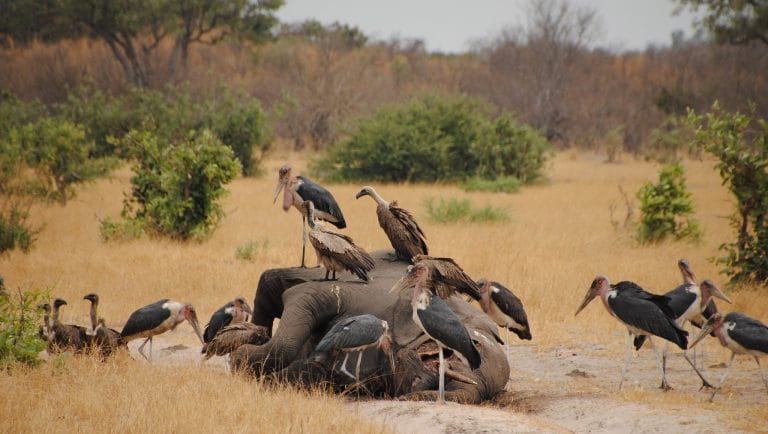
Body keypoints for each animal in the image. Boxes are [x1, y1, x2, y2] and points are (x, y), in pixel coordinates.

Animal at [231, 250, 510, 404]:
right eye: (475, 345)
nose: (426, 386)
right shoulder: (369, 295)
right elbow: (296, 312)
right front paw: (239, 357)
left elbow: (313, 370)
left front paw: (266, 375)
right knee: (271, 280)